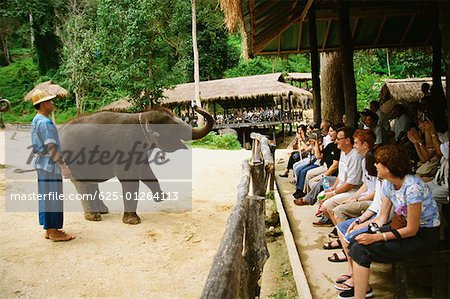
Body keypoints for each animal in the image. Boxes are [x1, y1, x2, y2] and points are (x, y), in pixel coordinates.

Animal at [59, 106, 214, 225]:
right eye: (174, 128)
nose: (195, 106)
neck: (142, 115)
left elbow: (146, 172)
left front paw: (162, 197)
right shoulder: (126, 146)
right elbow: (128, 177)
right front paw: (133, 222)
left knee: (91, 182)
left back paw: (103, 211)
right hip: (72, 160)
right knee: (82, 183)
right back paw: (94, 217)